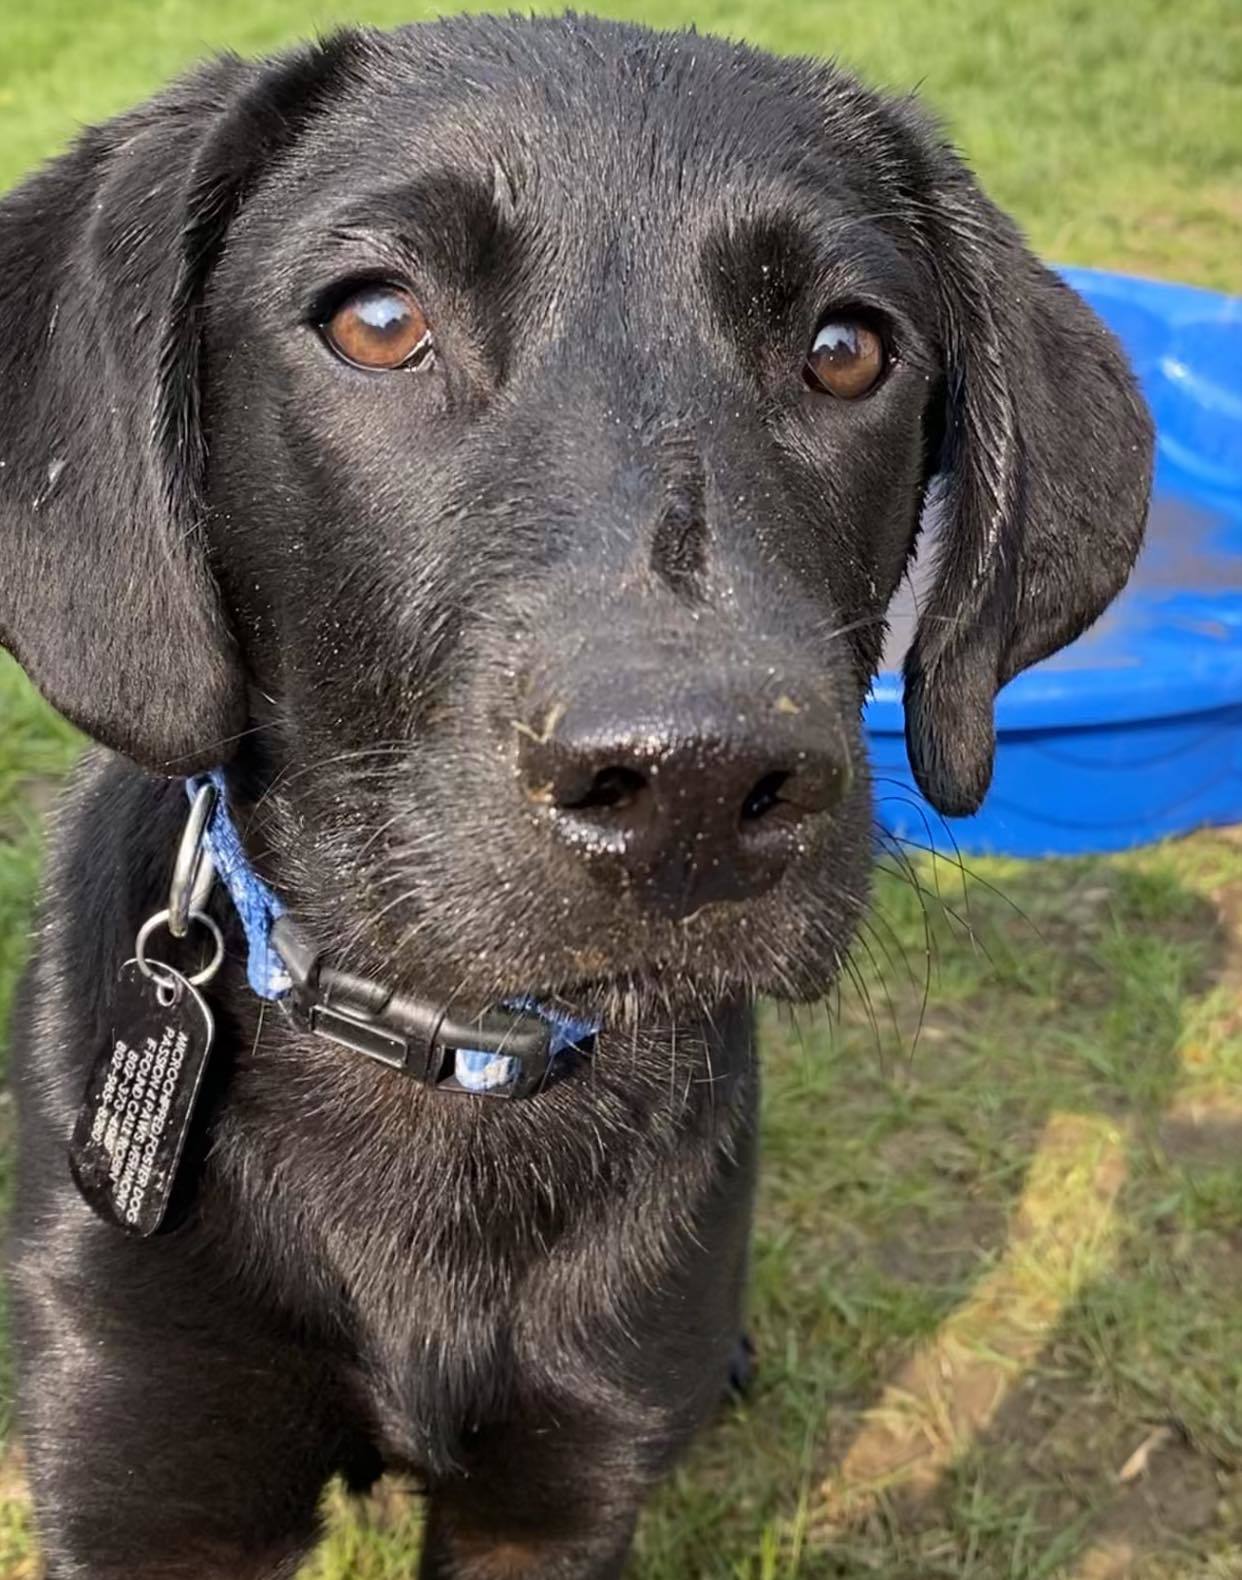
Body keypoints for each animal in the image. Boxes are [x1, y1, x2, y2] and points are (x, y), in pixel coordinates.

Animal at [0, 15, 1144, 1580]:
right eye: (375, 320)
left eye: (846, 348)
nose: (691, 787)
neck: (454, 1066)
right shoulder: (145, 1465)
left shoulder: (563, 1487)